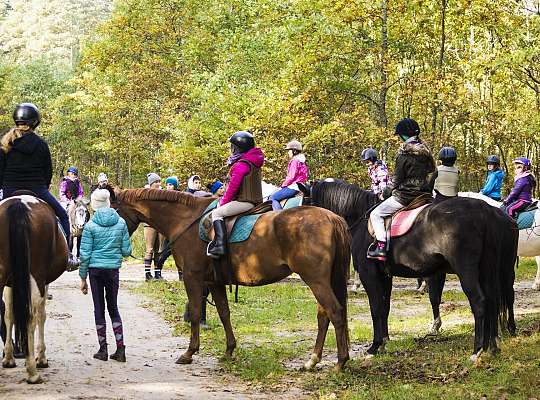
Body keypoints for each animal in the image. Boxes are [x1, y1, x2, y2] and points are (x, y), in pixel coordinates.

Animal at [0, 195, 68, 384]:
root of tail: (19, 203)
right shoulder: (43, 282)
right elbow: (41, 316)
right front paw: (41, 358)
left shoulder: (10, 284)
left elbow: (9, 315)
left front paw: (8, 358)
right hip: (36, 275)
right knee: (31, 316)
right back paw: (32, 371)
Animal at [113, 189, 350, 370]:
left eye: (113, 209)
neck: (185, 220)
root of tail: (331, 217)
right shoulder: (213, 282)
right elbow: (224, 313)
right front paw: (229, 350)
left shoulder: (192, 277)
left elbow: (196, 312)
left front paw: (190, 352)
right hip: (321, 282)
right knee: (323, 316)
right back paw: (313, 361)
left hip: (316, 281)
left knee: (335, 313)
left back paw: (340, 363)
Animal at [304, 181, 520, 360]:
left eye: (305, 199)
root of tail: (486, 211)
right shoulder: (385, 277)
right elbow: (384, 308)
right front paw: (384, 342)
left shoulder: (369, 275)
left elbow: (375, 308)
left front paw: (375, 346)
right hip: (487, 271)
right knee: (493, 300)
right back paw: (492, 347)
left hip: (467, 271)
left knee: (480, 302)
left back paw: (477, 350)